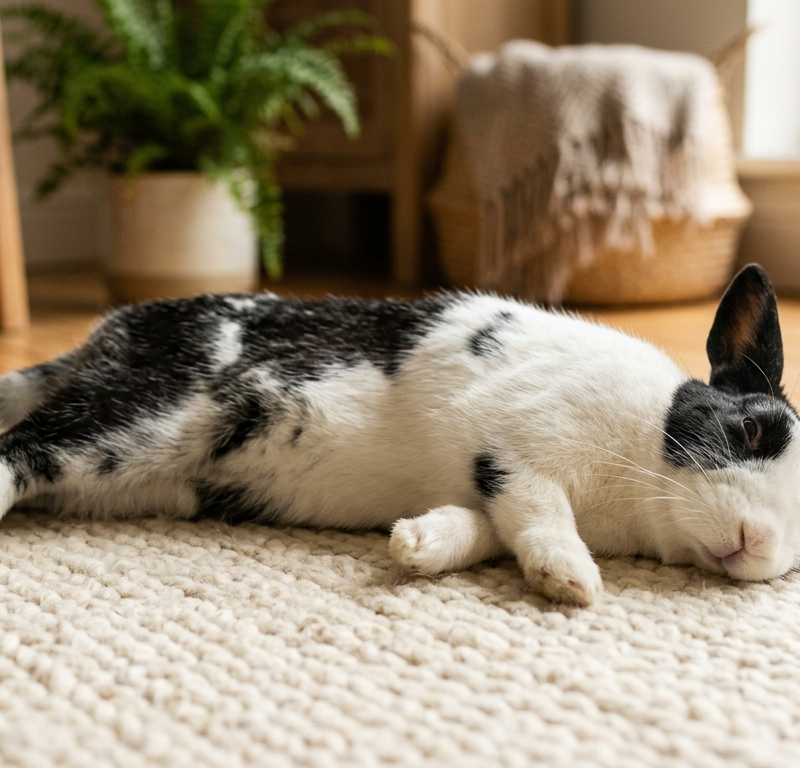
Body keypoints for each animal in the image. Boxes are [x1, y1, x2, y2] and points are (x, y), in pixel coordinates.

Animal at [0, 263, 796, 606]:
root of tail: (103, 338)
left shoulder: (488, 490)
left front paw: (416, 545)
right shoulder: (520, 442)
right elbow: (539, 511)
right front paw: (571, 579)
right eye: (754, 431)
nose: (757, 540)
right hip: (135, 417)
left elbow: (485, 527)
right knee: (18, 452)